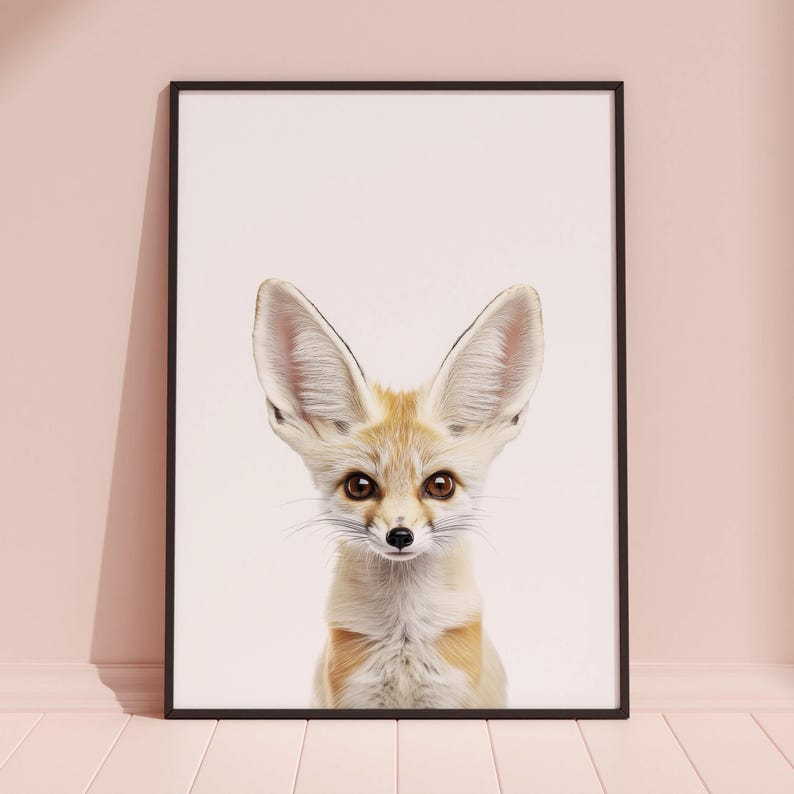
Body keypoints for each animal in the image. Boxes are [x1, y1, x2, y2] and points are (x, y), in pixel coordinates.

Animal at [252, 278, 544, 709]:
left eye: (440, 485)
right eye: (360, 486)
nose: (400, 536)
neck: (403, 638)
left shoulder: (453, 695)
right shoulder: (352, 696)